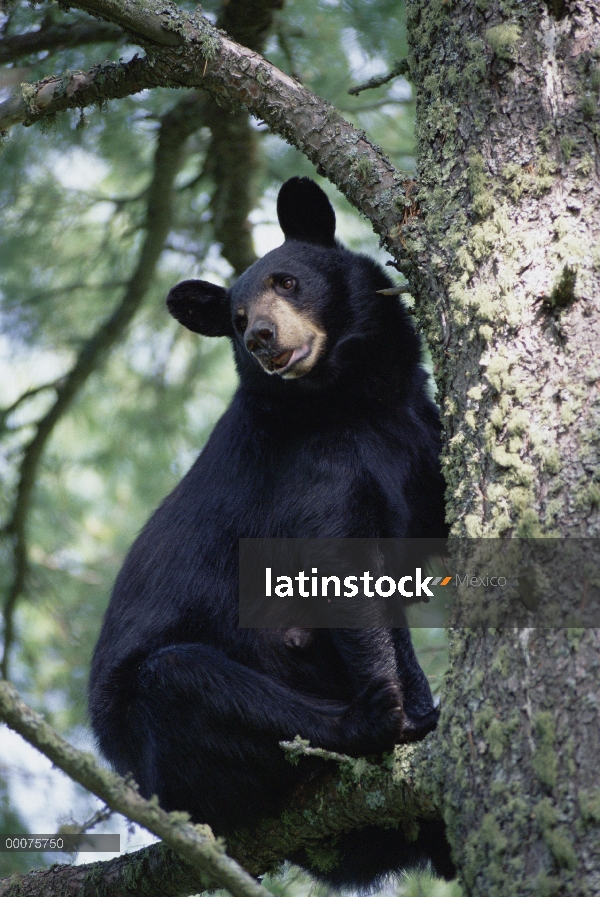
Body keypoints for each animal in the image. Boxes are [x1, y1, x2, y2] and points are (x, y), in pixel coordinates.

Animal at [89, 178, 452, 884]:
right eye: (234, 319)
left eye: (287, 281)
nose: (260, 335)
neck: (357, 401)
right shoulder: (311, 468)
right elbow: (340, 570)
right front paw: (405, 706)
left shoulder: (417, 437)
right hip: (160, 744)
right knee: (186, 681)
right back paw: (365, 720)